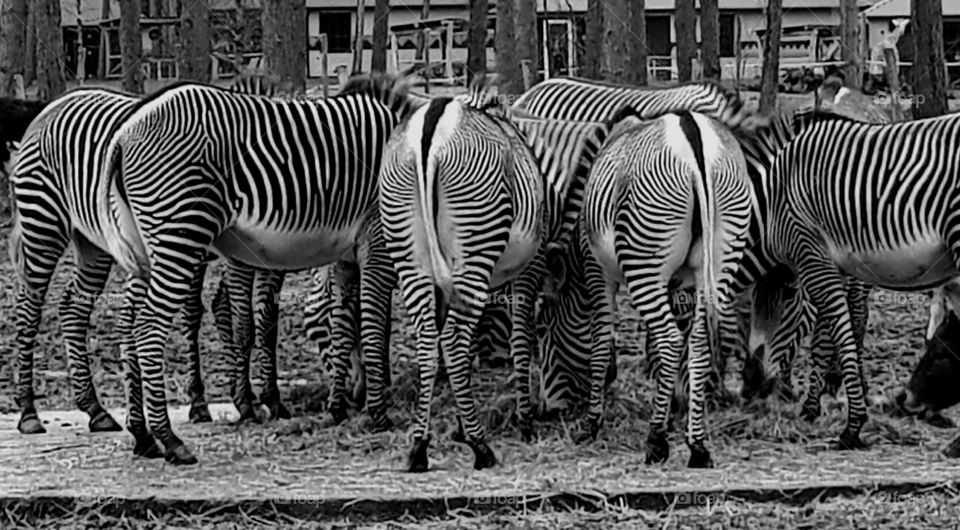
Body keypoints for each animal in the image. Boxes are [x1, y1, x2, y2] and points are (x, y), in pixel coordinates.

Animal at [95, 73, 418, 462]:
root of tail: (125, 130)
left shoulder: (346, 257)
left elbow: (343, 323)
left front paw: (341, 405)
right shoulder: (376, 242)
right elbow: (372, 325)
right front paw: (377, 412)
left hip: (145, 246)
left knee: (128, 326)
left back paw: (143, 436)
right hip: (180, 234)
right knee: (148, 327)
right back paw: (170, 439)